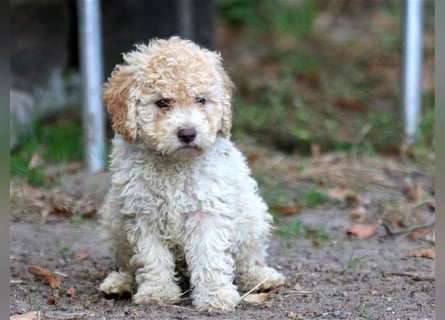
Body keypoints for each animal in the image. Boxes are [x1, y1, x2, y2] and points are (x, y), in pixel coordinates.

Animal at [98, 37, 284, 312]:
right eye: (162, 102)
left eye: (201, 100)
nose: (187, 133)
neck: (174, 164)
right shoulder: (142, 212)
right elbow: (151, 256)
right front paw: (157, 291)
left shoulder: (207, 210)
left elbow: (210, 256)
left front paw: (215, 296)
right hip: (113, 218)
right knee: (129, 264)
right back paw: (120, 282)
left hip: (252, 216)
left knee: (247, 259)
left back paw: (261, 278)